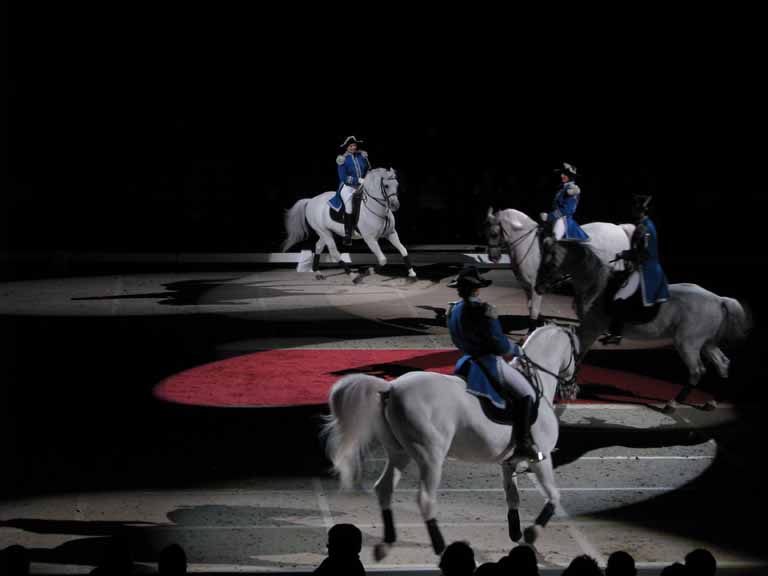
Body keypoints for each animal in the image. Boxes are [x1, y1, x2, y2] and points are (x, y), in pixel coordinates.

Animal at [280, 166, 414, 282]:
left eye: (396, 185)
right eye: (386, 186)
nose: (395, 205)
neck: (376, 208)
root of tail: (311, 200)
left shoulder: (391, 233)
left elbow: (403, 250)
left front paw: (412, 274)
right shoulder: (370, 239)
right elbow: (382, 259)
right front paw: (369, 271)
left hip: (326, 232)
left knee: (318, 246)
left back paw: (318, 273)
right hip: (323, 231)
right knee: (334, 253)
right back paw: (353, 276)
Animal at [320, 326, 580, 560]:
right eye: (576, 353)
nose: (574, 388)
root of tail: (391, 386)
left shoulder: (509, 462)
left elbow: (512, 497)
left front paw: (517, 534)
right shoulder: (541, 458)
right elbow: (554, 496)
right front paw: (531, 533)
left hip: (399, 452)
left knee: (384, 488)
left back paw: (386, 544)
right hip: (430, 456)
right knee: (425, 499)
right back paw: (441, 548)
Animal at [486, 209, 636, 330]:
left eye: (494, 234)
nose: (493, 257)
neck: (528, 243)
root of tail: (619, 228)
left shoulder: (535, 288)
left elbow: (534, 310)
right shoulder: (527, 288)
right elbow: (530, 309)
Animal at [536, 236, 752, 412]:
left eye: (549, 264)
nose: (539, 288)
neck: (596, 287)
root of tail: (719, 299)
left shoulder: (591, 329)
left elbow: (578, 354)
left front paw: (567, 388)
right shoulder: (588, 329)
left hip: (688, 343)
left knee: (697, 370)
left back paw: (673, 404)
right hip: (706, 343)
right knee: (722, 364)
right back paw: (712, 402)